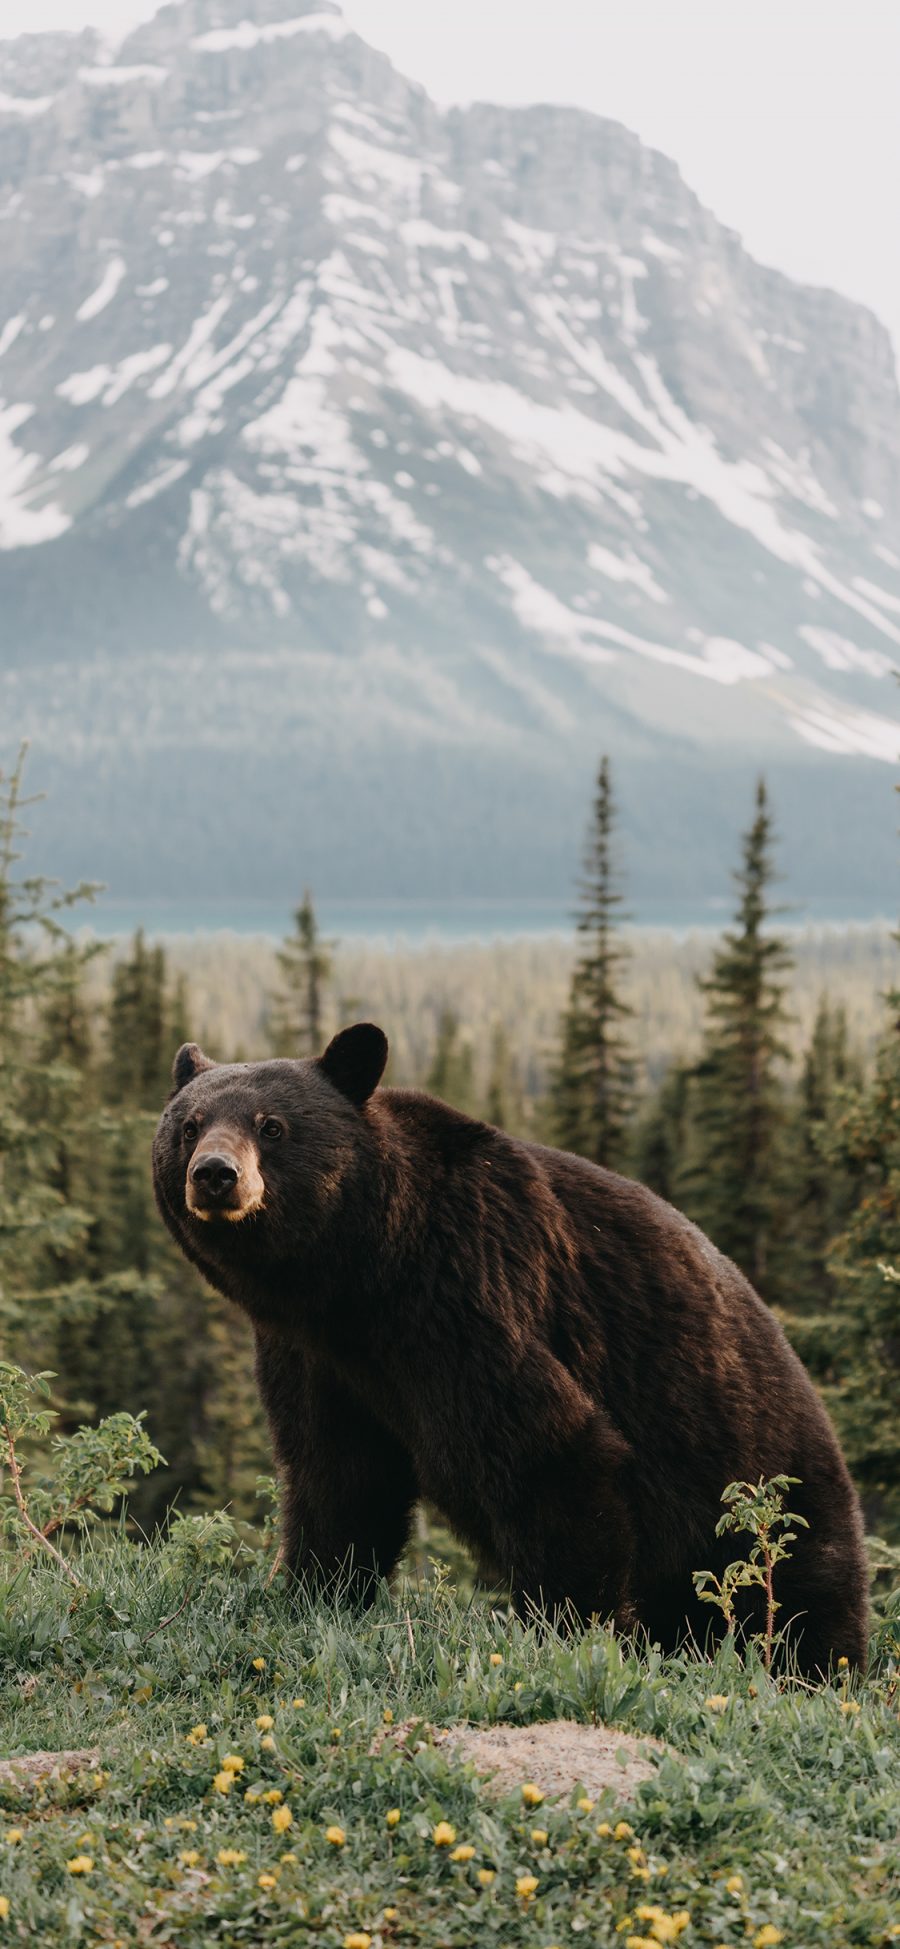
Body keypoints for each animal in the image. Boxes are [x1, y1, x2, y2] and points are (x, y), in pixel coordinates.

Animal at [150, 1021, 868, 1676]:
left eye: (272, 1126)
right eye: (189, 1126)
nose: (215, 1174)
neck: (361, 1277)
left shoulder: (469, 1294)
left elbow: (549, 1451)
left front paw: (570, 1628)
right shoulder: (313, 1356)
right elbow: (336, 1473)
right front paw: (315, 1590)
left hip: (764, 1491)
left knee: (801, 1600)